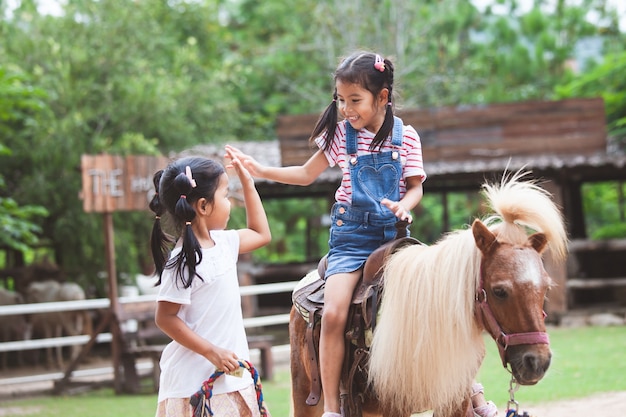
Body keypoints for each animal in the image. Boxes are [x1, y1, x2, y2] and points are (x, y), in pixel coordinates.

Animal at [288, 170, 564, 416]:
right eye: (499, 291)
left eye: (545, 288)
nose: (537, 362)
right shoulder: (393, 407)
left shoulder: (454, 400)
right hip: (306, 395)